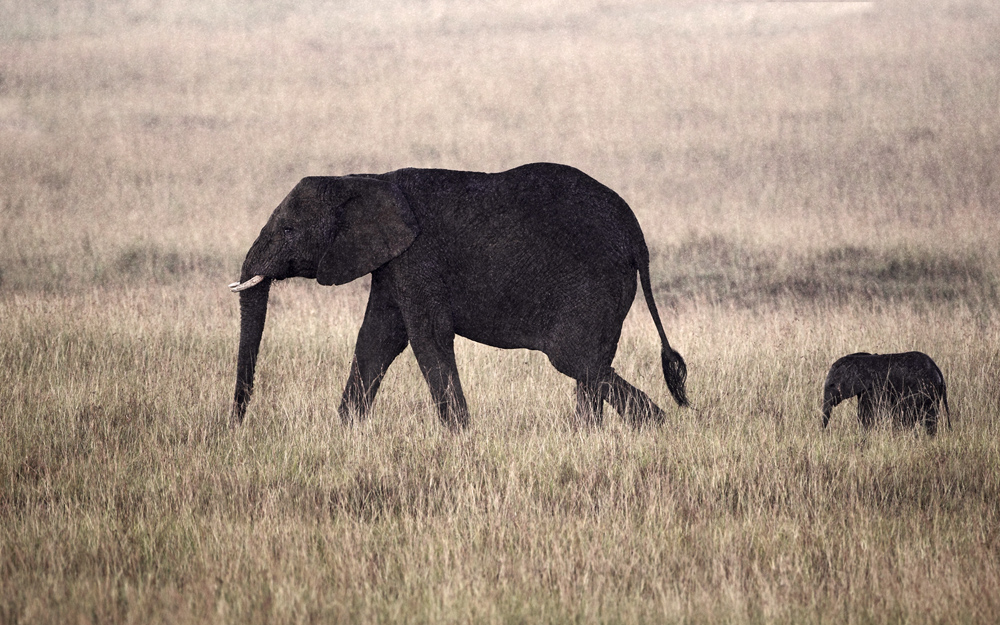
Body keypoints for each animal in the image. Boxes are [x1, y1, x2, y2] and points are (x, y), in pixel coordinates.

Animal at [230, 162, 692, 428]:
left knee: (575, 360)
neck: (365, 178)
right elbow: (376, 340)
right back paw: (597, 434)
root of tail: (637, 237)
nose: (236, 425)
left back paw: (656, 428)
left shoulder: (417, 256)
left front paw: (460, 435)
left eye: (289, 230)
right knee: (589, 366)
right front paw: (346, 431)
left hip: (597, 283)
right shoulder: (393, 261)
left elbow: (426, 338)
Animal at [820, 352, 952, 434]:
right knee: (930, 418)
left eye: (832, 385)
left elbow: (869, 413)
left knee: (908, 415)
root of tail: (937, 370)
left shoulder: (874, 387)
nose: (823, 434)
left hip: (922, 389)